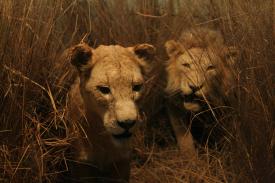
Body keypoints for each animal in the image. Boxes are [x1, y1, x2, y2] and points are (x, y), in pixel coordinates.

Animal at [67, 42, 155, 182]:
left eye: (136, 87)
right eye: (104, 89)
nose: (127, 123)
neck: (105, 142)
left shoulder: (122, 163)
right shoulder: (81, 164)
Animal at [166, 28, 239, 156]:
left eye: (210, 68)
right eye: (186, 65)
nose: (194, 87)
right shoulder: (174, 107)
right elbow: (185, 140)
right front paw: (190, 158)